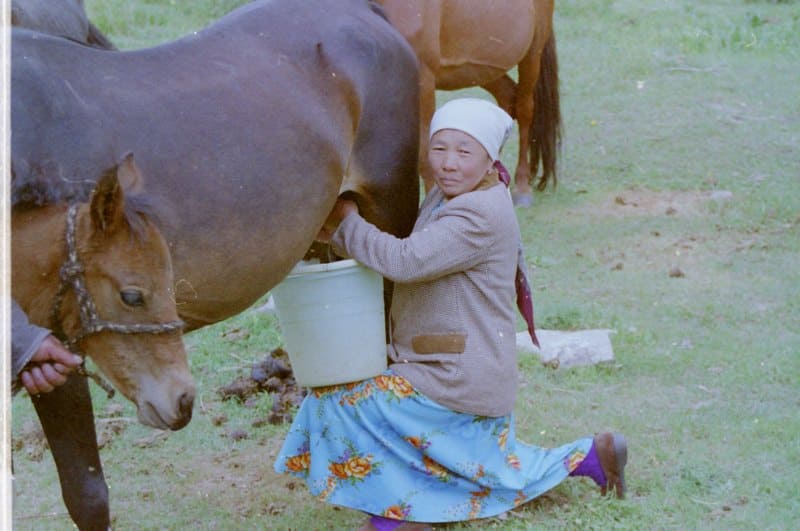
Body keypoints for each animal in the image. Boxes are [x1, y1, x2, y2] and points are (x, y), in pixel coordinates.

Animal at [376, 0, 560, 207]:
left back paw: (522, 188)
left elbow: (425, 152)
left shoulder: (423, 79)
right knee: (507, 98)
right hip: (484, 68)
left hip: (532, 54)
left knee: (524, 110)